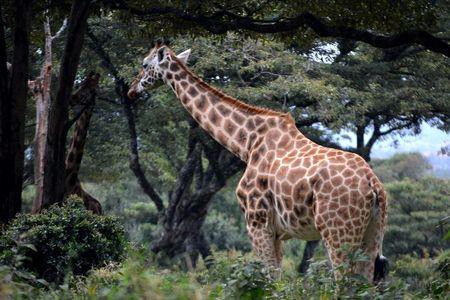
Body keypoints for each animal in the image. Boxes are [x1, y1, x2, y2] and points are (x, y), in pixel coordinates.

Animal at [128, 42, 388, 284]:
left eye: (144, 64)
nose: (131, 89)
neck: (247, 144)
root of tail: (373, 184)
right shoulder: (278, 232)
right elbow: (278, 280)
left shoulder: (257, 221)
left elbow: (269, 279)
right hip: (373, 233)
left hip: (337, 232)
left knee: (343, 282)